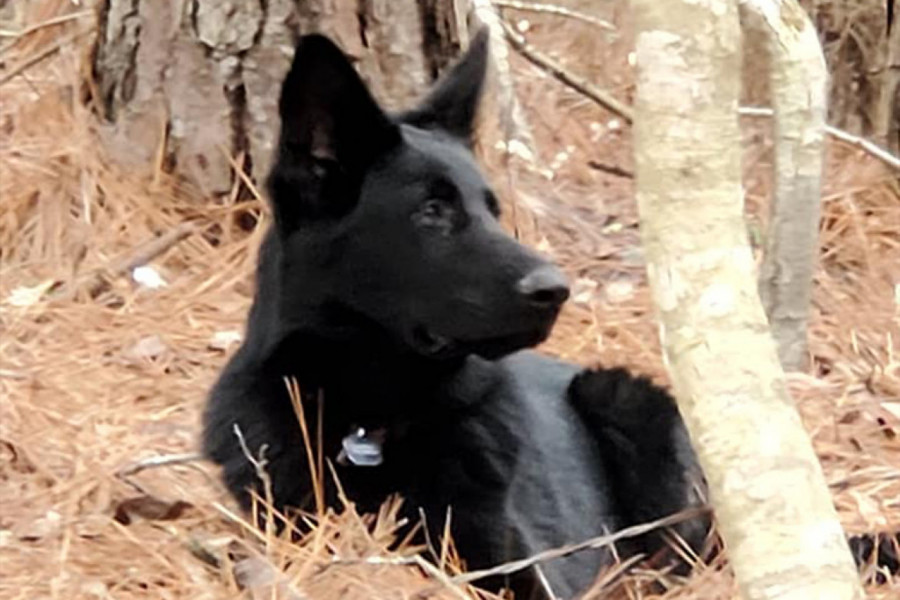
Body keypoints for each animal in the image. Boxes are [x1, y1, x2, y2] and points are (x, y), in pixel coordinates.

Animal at [204, 30, 712, 596]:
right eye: (432, 211)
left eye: (492, 210)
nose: (557, 290)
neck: (368, 422)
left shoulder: (520, 564)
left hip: (623, 399)